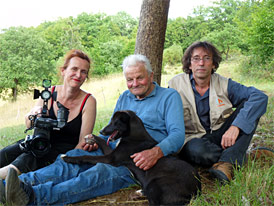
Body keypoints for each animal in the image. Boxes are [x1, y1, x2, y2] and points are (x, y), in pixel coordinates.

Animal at [63, 110, 202, 205]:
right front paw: (92, 137)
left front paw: (67, 158)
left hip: (155, 183)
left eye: (115, 122)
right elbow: (102, 142)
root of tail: (197, 188)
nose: (101, 131)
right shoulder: (111, 151)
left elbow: (86, 156)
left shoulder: (111, 158)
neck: (134, 135)